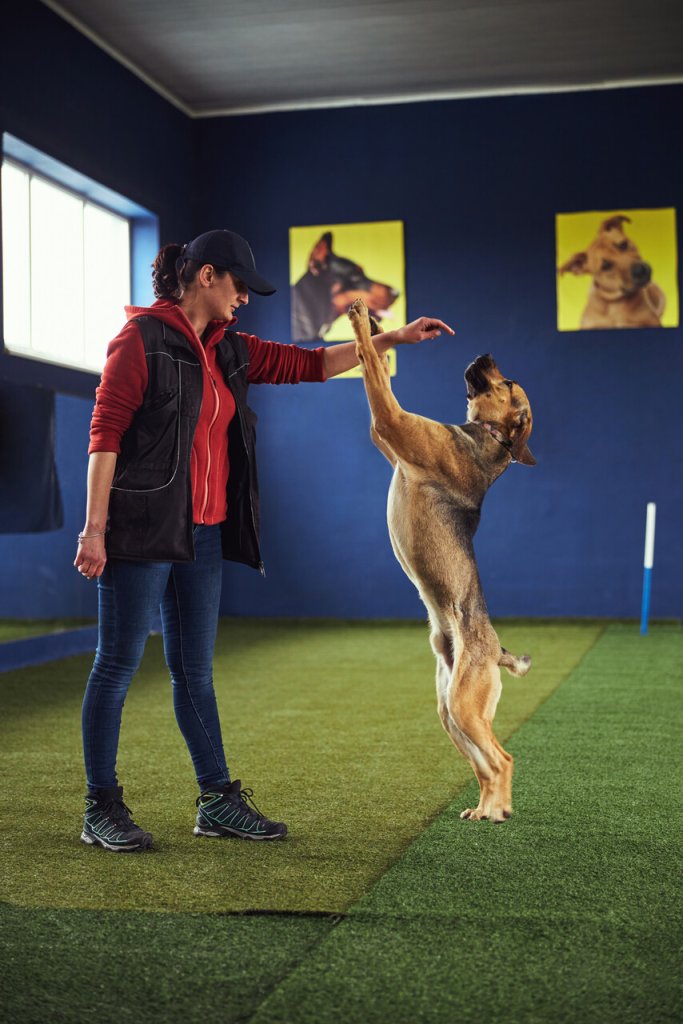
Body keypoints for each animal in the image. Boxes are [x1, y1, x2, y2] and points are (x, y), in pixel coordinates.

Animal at [350, 299, 536, 823]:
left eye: (507, 382)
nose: (484, 351)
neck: (489, 437)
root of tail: (495, 649)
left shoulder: (390, 421)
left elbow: (372, 366)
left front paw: (361, 321)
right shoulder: (385, 437)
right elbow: (377, 362)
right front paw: (380, 325)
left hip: (463, 705)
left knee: (503, 757)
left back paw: (497, 811)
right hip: (450, 712)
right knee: (487, 765)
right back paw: (487, 809)